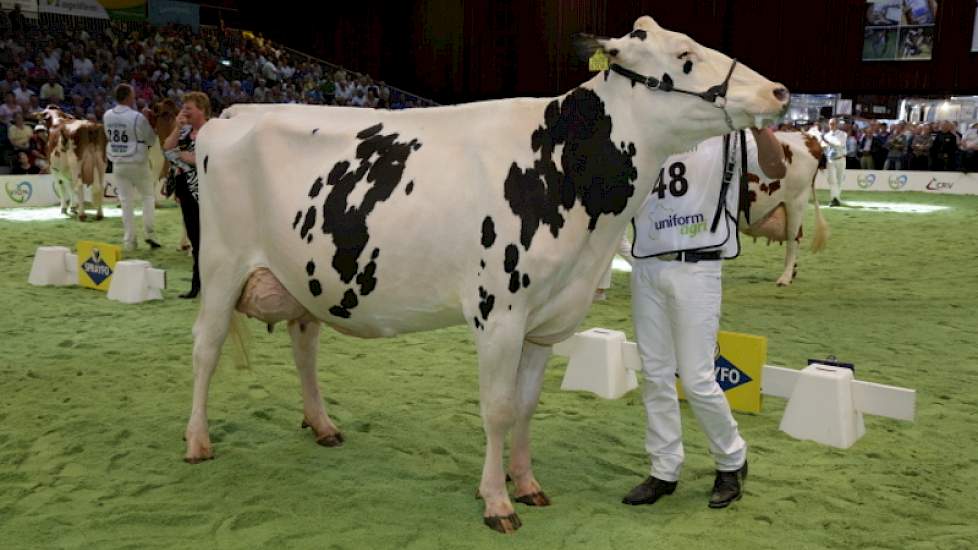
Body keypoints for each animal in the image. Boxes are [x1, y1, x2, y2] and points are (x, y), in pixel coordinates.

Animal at [187, 15, 788, 536]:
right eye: (685, 58)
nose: (779, 92)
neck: (564, 168)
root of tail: (233, 112)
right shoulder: (499, 311)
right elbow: (497, 409)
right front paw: (497, 502)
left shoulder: (547, 320)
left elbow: (524, 407)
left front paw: (527, 484)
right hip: (220, 266)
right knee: (205, 349)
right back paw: (197, 442)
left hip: (306, 275)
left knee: (303, 344)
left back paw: (322, 425)